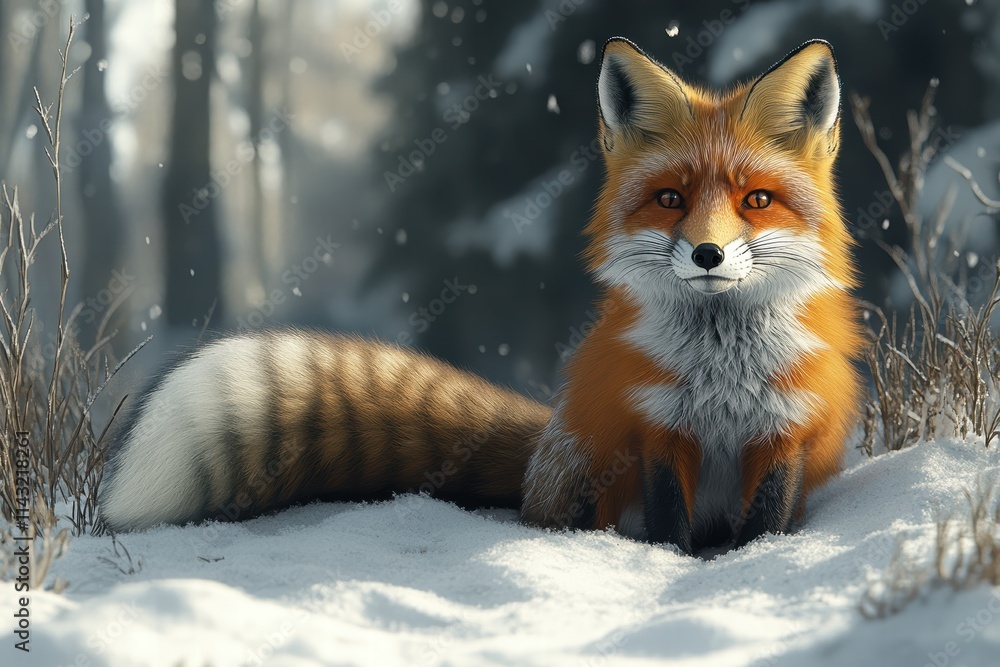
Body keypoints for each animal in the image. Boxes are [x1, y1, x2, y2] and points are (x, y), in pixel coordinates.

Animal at [100, 38, 863, 554]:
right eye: (671, 199)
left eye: (756, 200)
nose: (707, 253)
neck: (720, 370)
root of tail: (539, 452)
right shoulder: (655, 429)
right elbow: (670, 524)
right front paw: (668, 565)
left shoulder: (785, 430)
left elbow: (765, 523)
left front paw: (747, 561)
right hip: (583, 466)